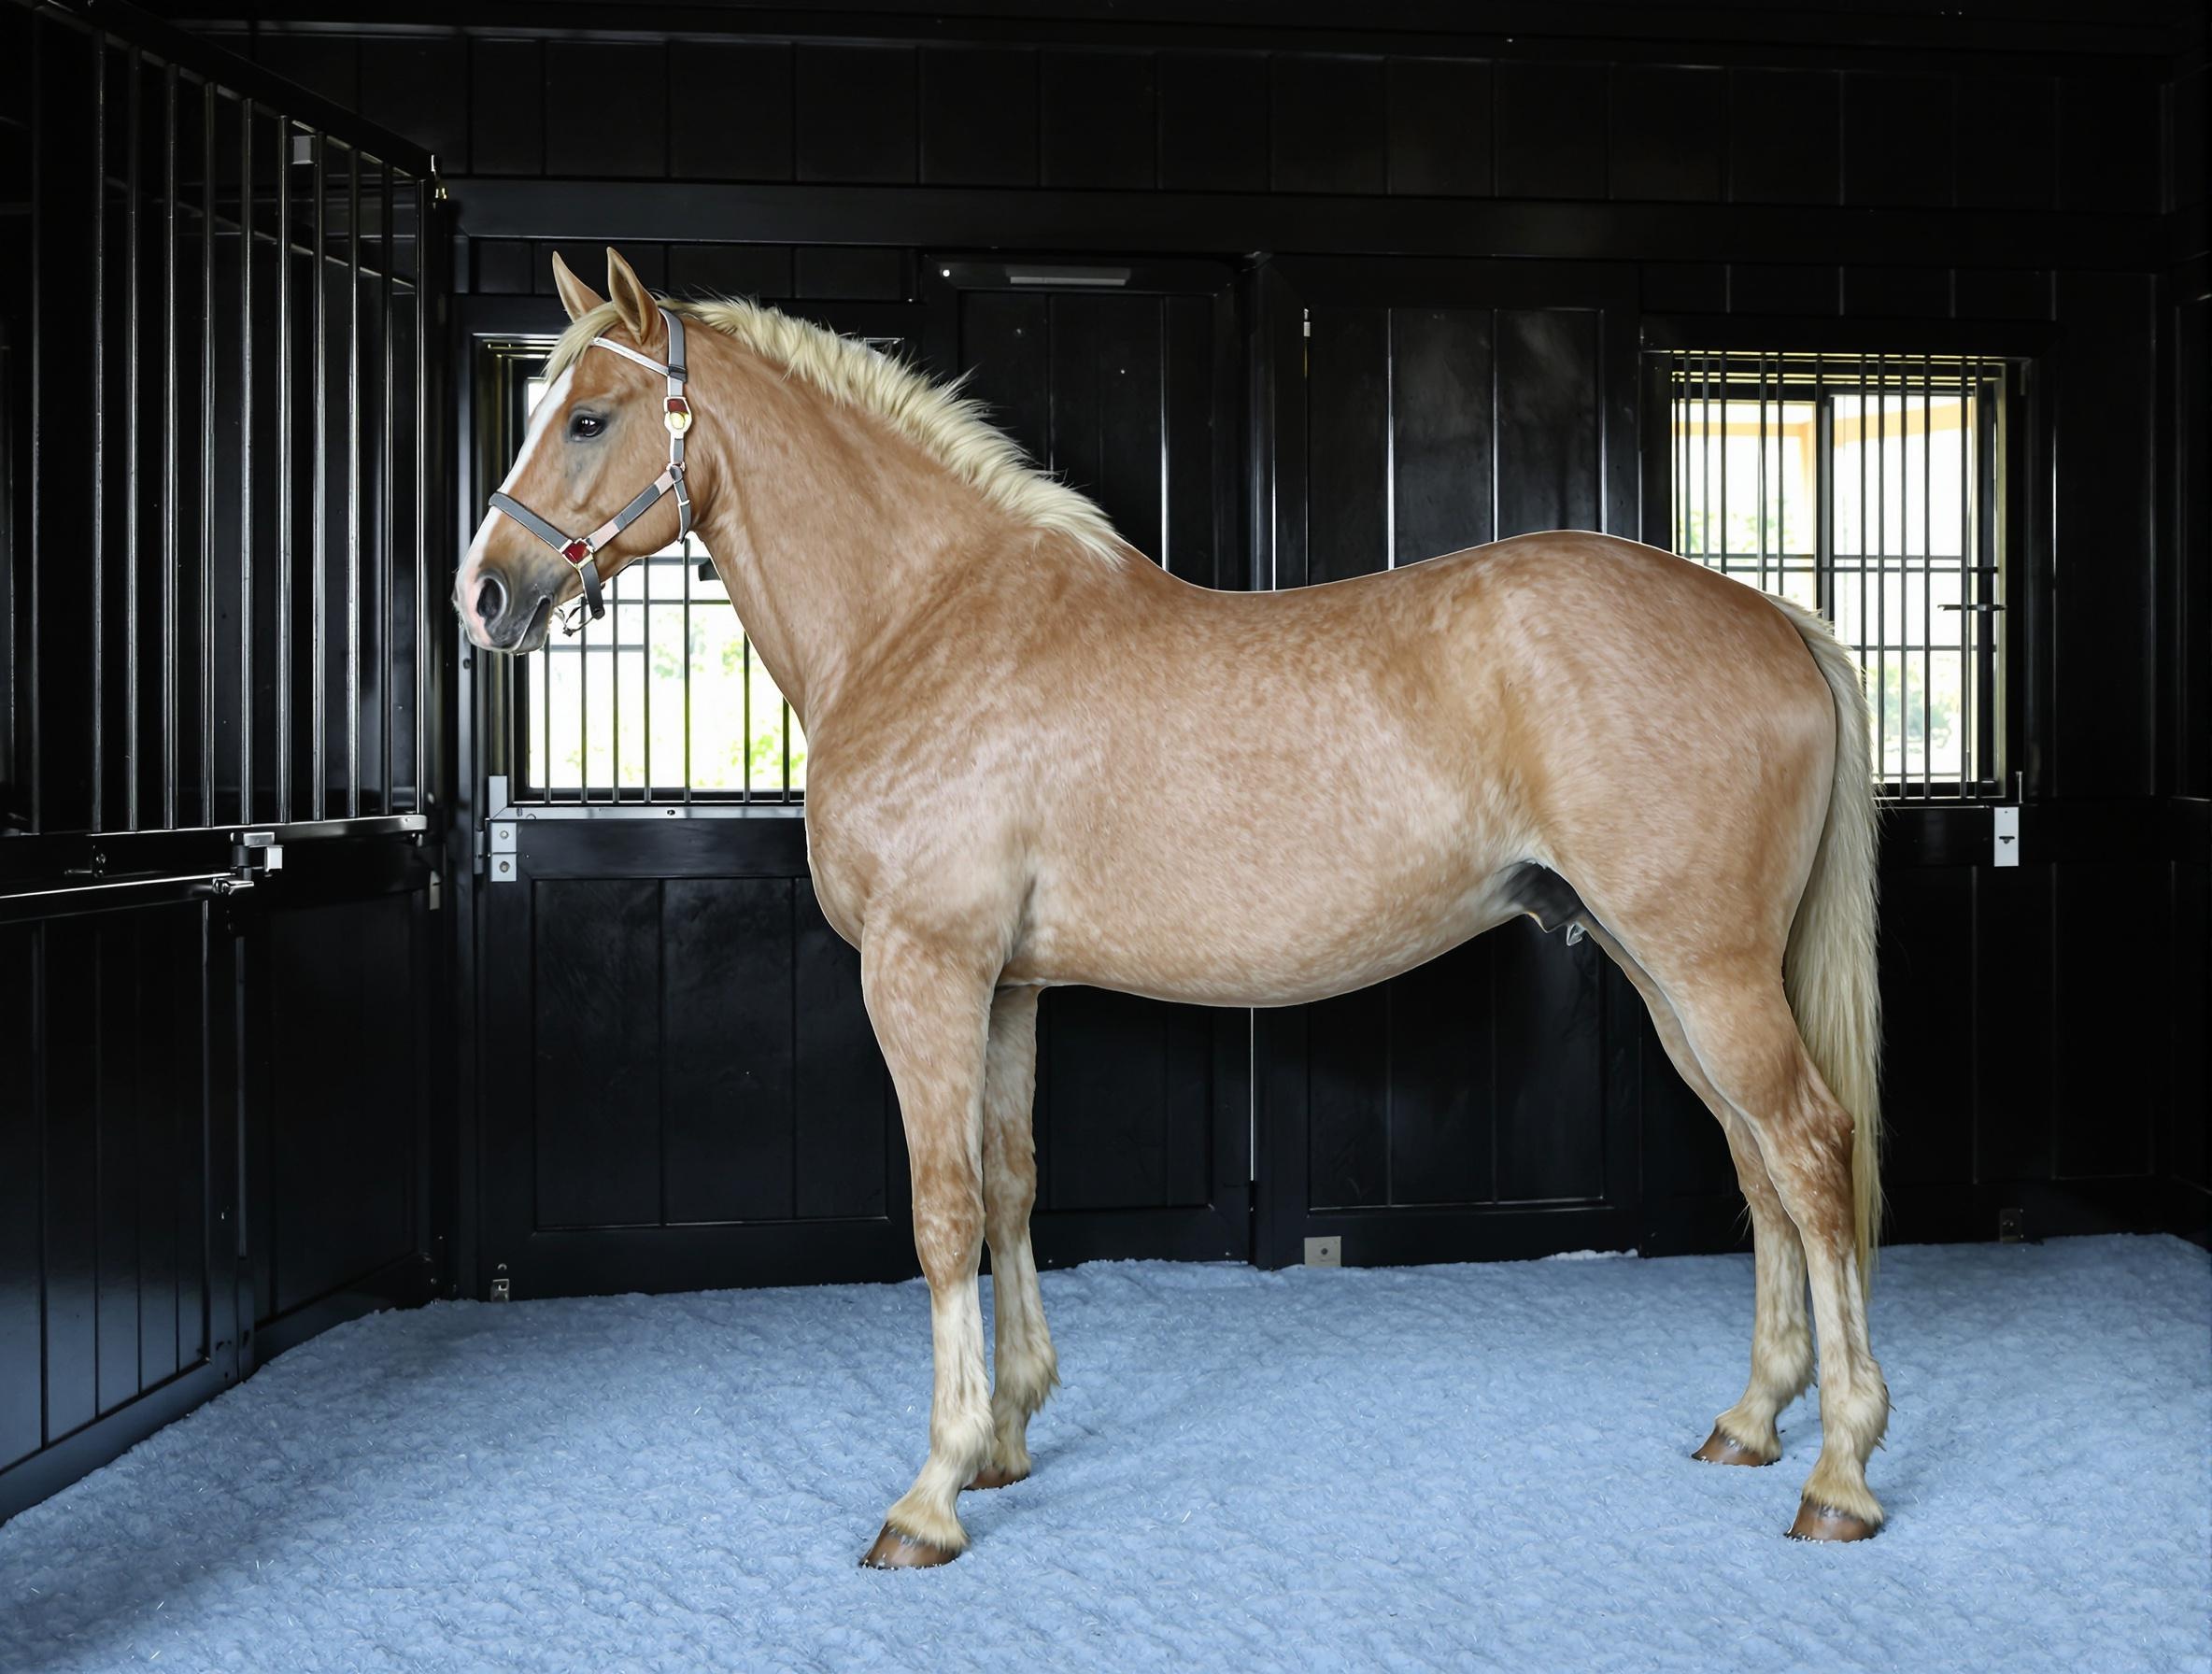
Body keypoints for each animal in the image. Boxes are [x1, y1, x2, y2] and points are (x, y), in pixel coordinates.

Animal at [456, 247, 1889, 1568]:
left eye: (588, 418)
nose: (484, 594)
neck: (921, 621)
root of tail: (1770, 618)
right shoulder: (1008, 988)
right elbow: (1013, 1187)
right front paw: (1008, 1437)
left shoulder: (924, 973)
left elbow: (942, 1213)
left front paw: (930, 1494)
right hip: (1666, 974)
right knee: (1757, 1166)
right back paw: (1752, 1423)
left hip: (1707, 970)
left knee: (1811, 1153)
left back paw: (1840, 1472)